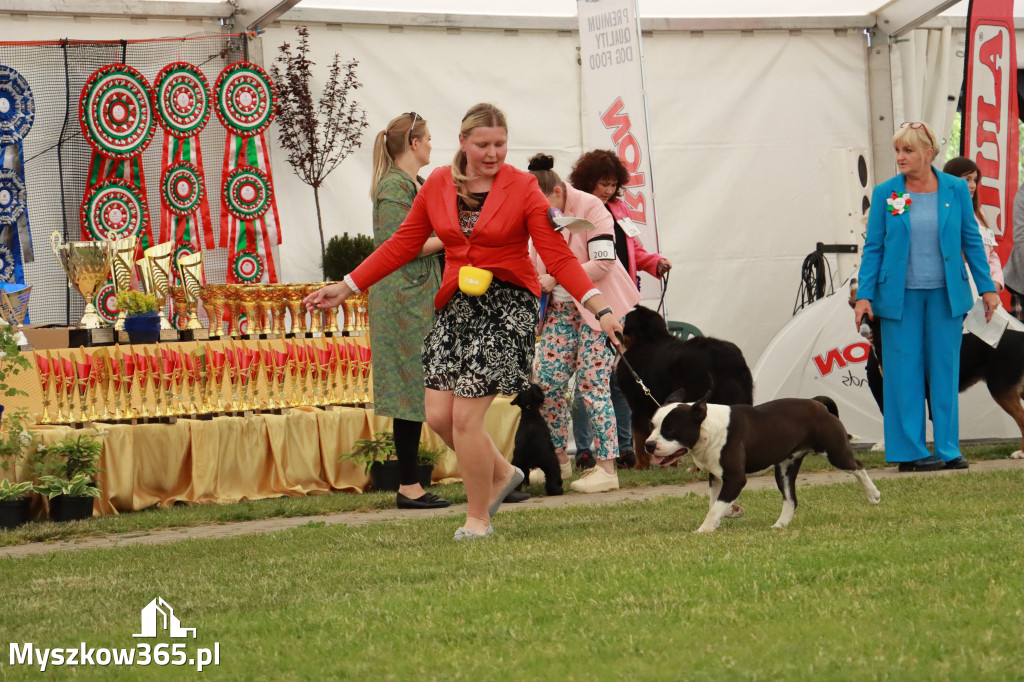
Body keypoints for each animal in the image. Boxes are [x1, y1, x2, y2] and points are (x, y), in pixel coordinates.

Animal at [647, 387, 880, 532]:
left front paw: (704, 529)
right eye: (652, 425)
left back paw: (872, 494)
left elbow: (715, 507)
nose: (648, 445)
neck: (706, 427)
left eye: (671, 429)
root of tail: (817, 403)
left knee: (858, 467)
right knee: (791, 499)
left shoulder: (735, 478)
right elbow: (715, 502)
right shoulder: (717, 477)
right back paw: (779, 525)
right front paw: (731, 511)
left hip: (835, 452)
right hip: (785, 469)